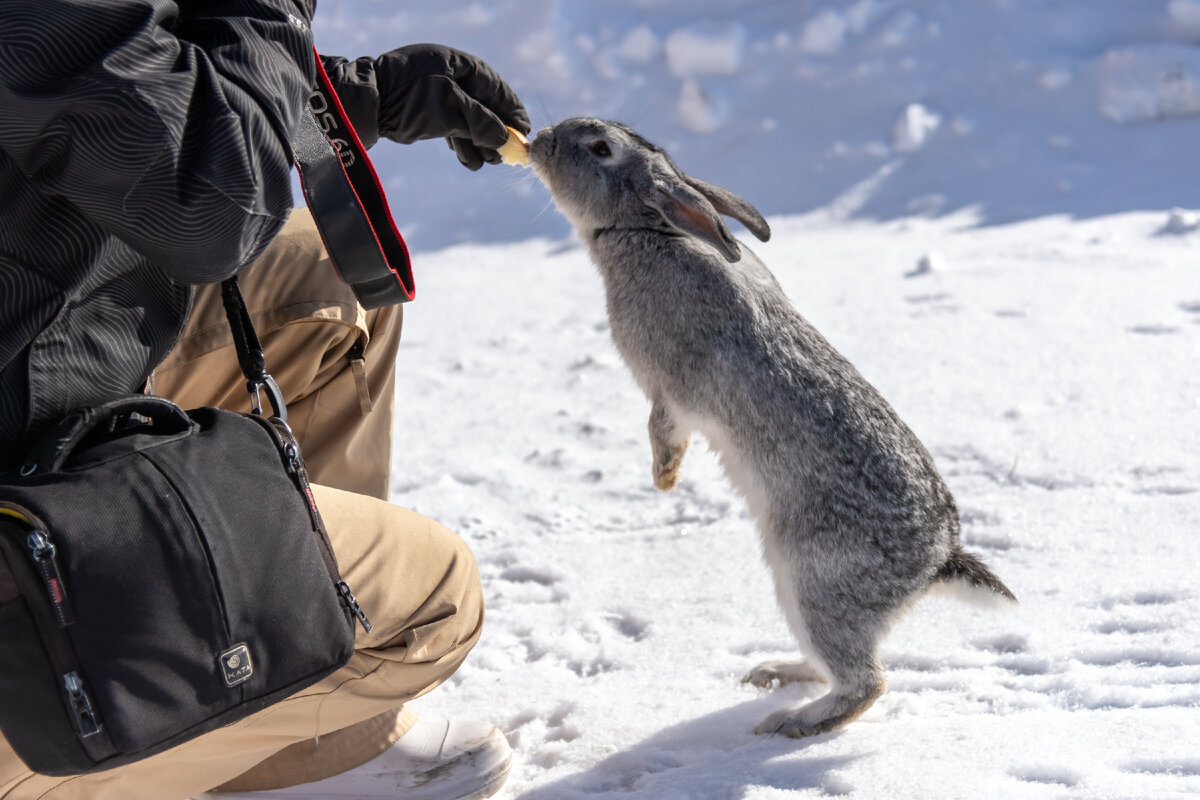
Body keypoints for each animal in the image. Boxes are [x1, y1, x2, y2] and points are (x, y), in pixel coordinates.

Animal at [530, 117, 1017, 738]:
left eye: (599, 148)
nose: (540, 139)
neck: (647, 229)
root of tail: (937, 562)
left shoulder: (675, 391)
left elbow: (665, 427)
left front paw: (664, 479)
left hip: (815, 583)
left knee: (865, 682)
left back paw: (792, 723)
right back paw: (775, 674)